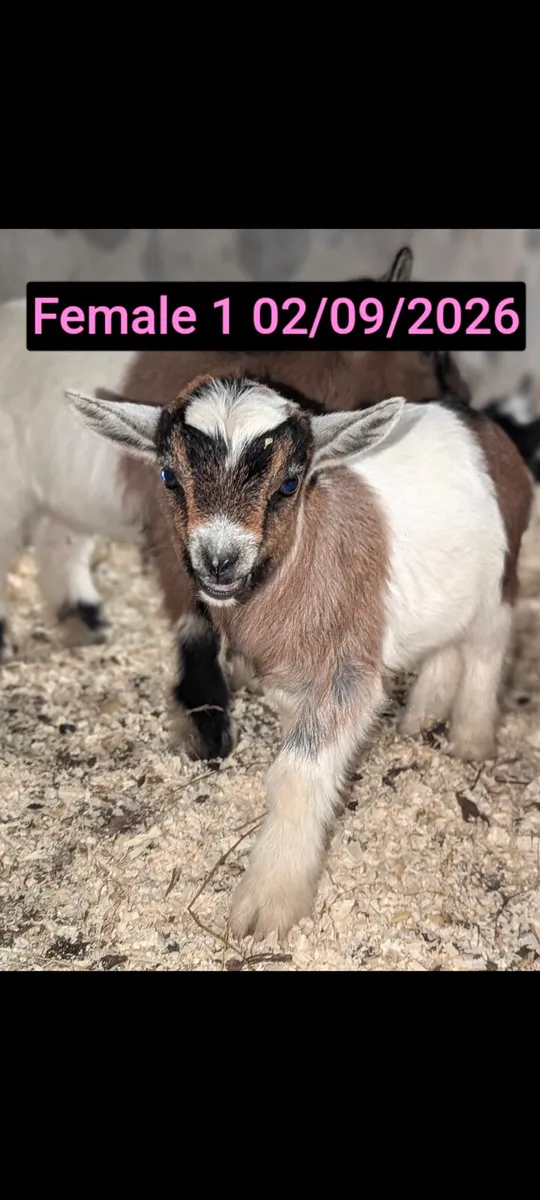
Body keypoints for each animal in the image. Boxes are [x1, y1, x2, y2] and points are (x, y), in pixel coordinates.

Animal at [0, 246, 472, 764]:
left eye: (288, 485)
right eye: (431, 349)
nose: (463, 399)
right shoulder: (176, 538)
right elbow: (196, 626)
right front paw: (207, 727)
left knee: (58, 539)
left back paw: (83, 620)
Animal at [67, 374, 533, 939]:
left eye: (289, 485)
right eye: (169, 476)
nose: (219, 562)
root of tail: (484, 424)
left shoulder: (347, 673)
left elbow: (293, 774)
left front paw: (266, 905)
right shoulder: (289, 677)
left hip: (501, 580)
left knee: (487, 649)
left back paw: (470, 741)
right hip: (449, 598)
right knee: (445, 645)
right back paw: (419, 720)